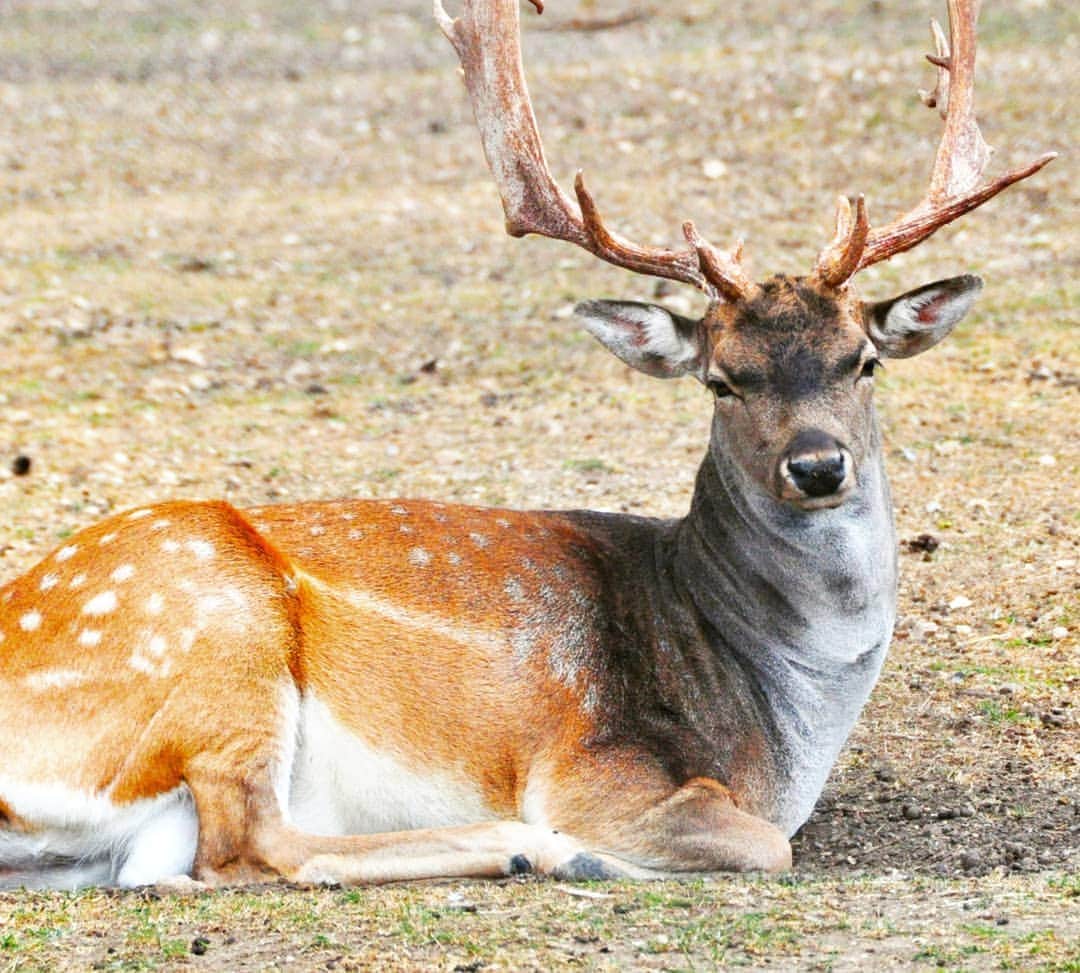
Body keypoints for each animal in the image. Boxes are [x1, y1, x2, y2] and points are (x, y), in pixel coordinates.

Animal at [0, 0, 1055, 890]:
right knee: (250, 845)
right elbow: (767, 844)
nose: (819, 464)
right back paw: (537, 848)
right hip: (217, 641)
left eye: (862, 361)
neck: (783, 718)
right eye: (724, 378)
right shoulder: (596, 765)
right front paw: (596, 848)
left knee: (167, 866)